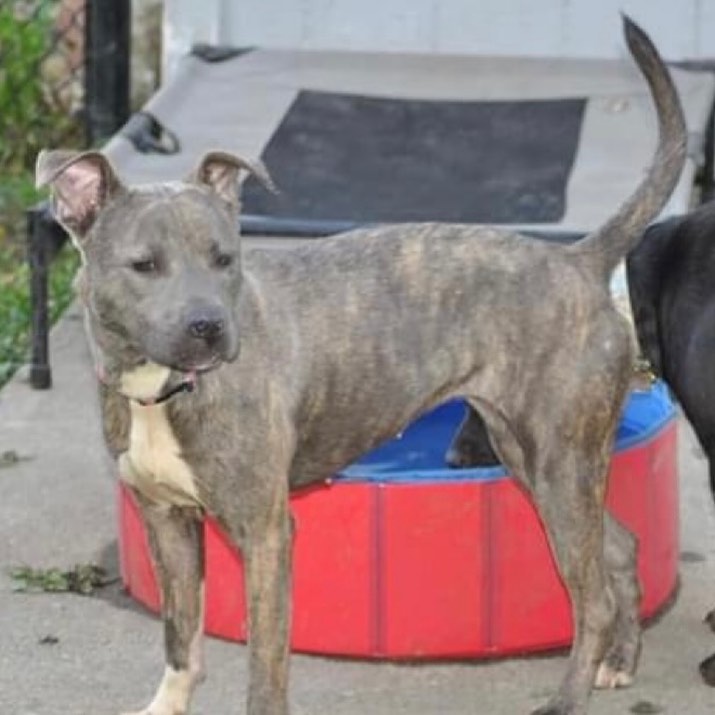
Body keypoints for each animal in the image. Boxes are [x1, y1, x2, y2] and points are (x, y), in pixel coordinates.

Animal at [36, 15, 684, 715]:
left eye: (224, 257)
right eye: (144, 265)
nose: (209, 328)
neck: (166, 391)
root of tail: (578, 261)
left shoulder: (266, 533)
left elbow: (265, 670)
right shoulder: (168, 523)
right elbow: (181, 643)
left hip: (559, 466)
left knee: (591, 597)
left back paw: (569, 695)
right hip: (536, 463)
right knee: (618, 549)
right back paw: (618, 661)